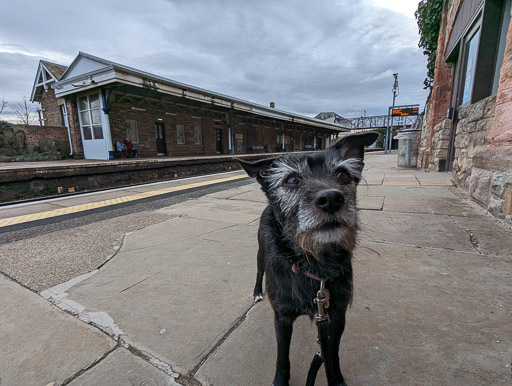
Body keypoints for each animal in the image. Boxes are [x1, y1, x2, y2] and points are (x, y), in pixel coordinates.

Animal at [238, 133, 378, 386]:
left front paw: (336, 380)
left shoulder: (337, 316)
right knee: (259, 271)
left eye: (342, 175)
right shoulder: (282, 318)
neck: (314, 263)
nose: (331, 198)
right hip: (260, 255)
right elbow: (282, 356)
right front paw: (280, 381)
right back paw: (257, 292)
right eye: (291, 179)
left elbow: (332, 353)